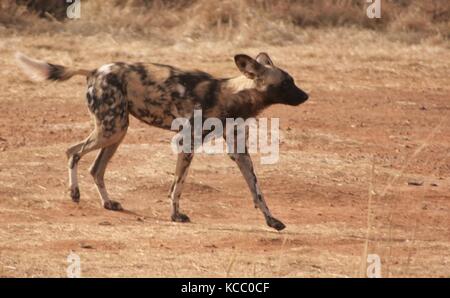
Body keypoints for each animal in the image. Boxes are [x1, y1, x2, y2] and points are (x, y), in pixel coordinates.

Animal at [15, 52, 308, 232]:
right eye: (287, 83)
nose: (306, 95)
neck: (233, 96)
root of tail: (94, 70)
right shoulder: (186, 143)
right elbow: (177, 187)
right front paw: (176, 216)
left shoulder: (240, 153)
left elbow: (257, 191)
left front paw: (272, 221)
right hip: (111, 129)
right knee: (73, 152)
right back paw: (74, 193)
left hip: (117, 131)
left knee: (96, 168)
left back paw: (108, 203)